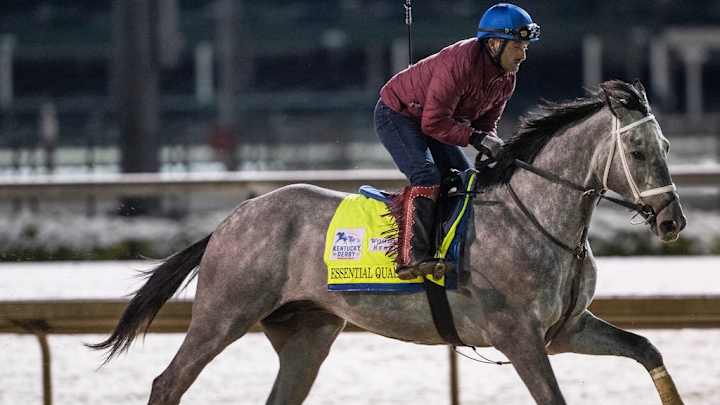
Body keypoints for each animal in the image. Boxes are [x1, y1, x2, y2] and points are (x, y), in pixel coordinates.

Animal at [91, 80, 687, 405]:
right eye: (636, 152)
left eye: (665, 145)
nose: (671, 221)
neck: (538, 218)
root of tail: (230, 220)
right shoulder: (517, 336)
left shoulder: (565, 330)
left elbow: (647, 348)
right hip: (223, 315)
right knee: (167, 383)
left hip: (306, 333)